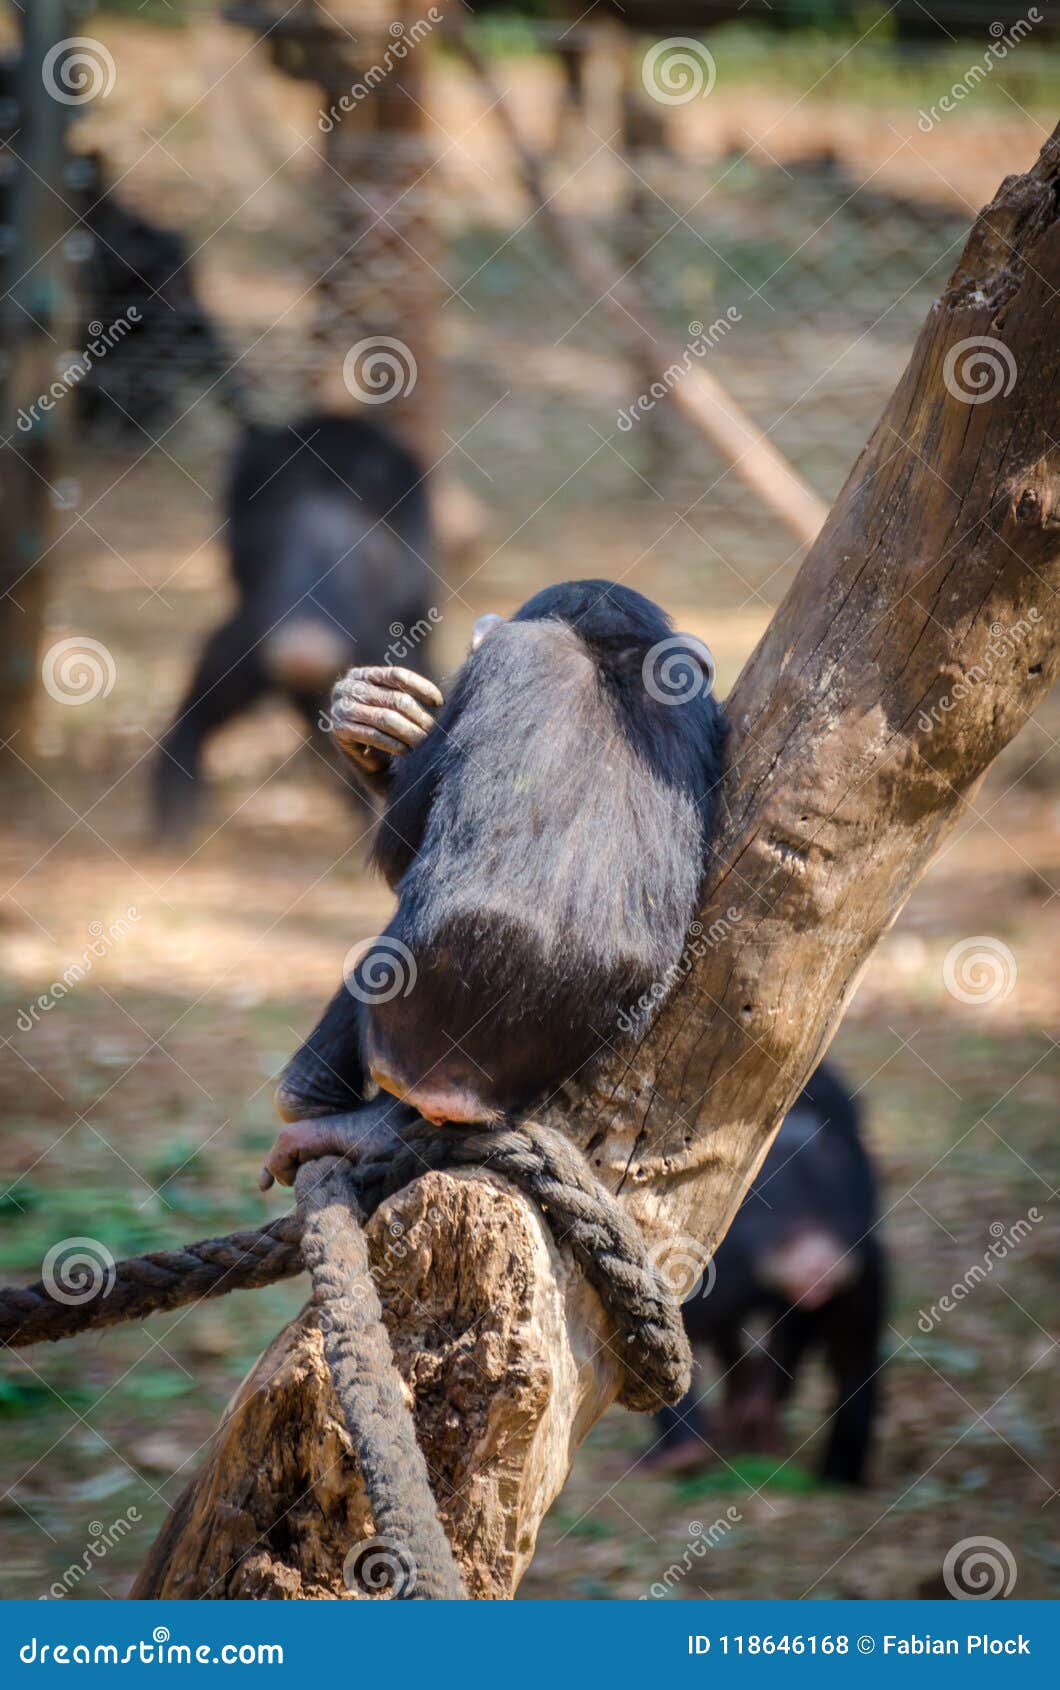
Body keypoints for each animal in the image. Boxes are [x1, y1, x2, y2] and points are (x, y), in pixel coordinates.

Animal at [260, 574, 726, 1183]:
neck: (604, 650)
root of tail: (457, 1091)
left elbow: (399, 847)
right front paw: (377, 715)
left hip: (404, 1027)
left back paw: (329, 1111)